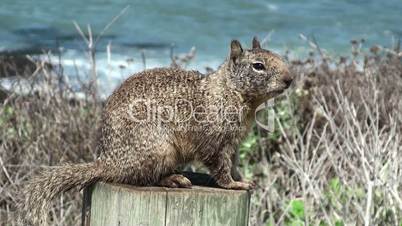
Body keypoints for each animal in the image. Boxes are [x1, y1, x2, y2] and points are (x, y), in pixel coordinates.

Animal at [21, 37, 292, 224]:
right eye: (258, 66)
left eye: (278, 56)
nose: (290, 79)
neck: (229, 91)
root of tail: (107, 163)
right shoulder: (215, 141)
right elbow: (220, 167)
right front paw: (233, 185)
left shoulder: (233, 143)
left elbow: (233, 164)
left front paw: (243, 179)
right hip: (158, 150)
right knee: (142, 178)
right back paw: (173, 179)